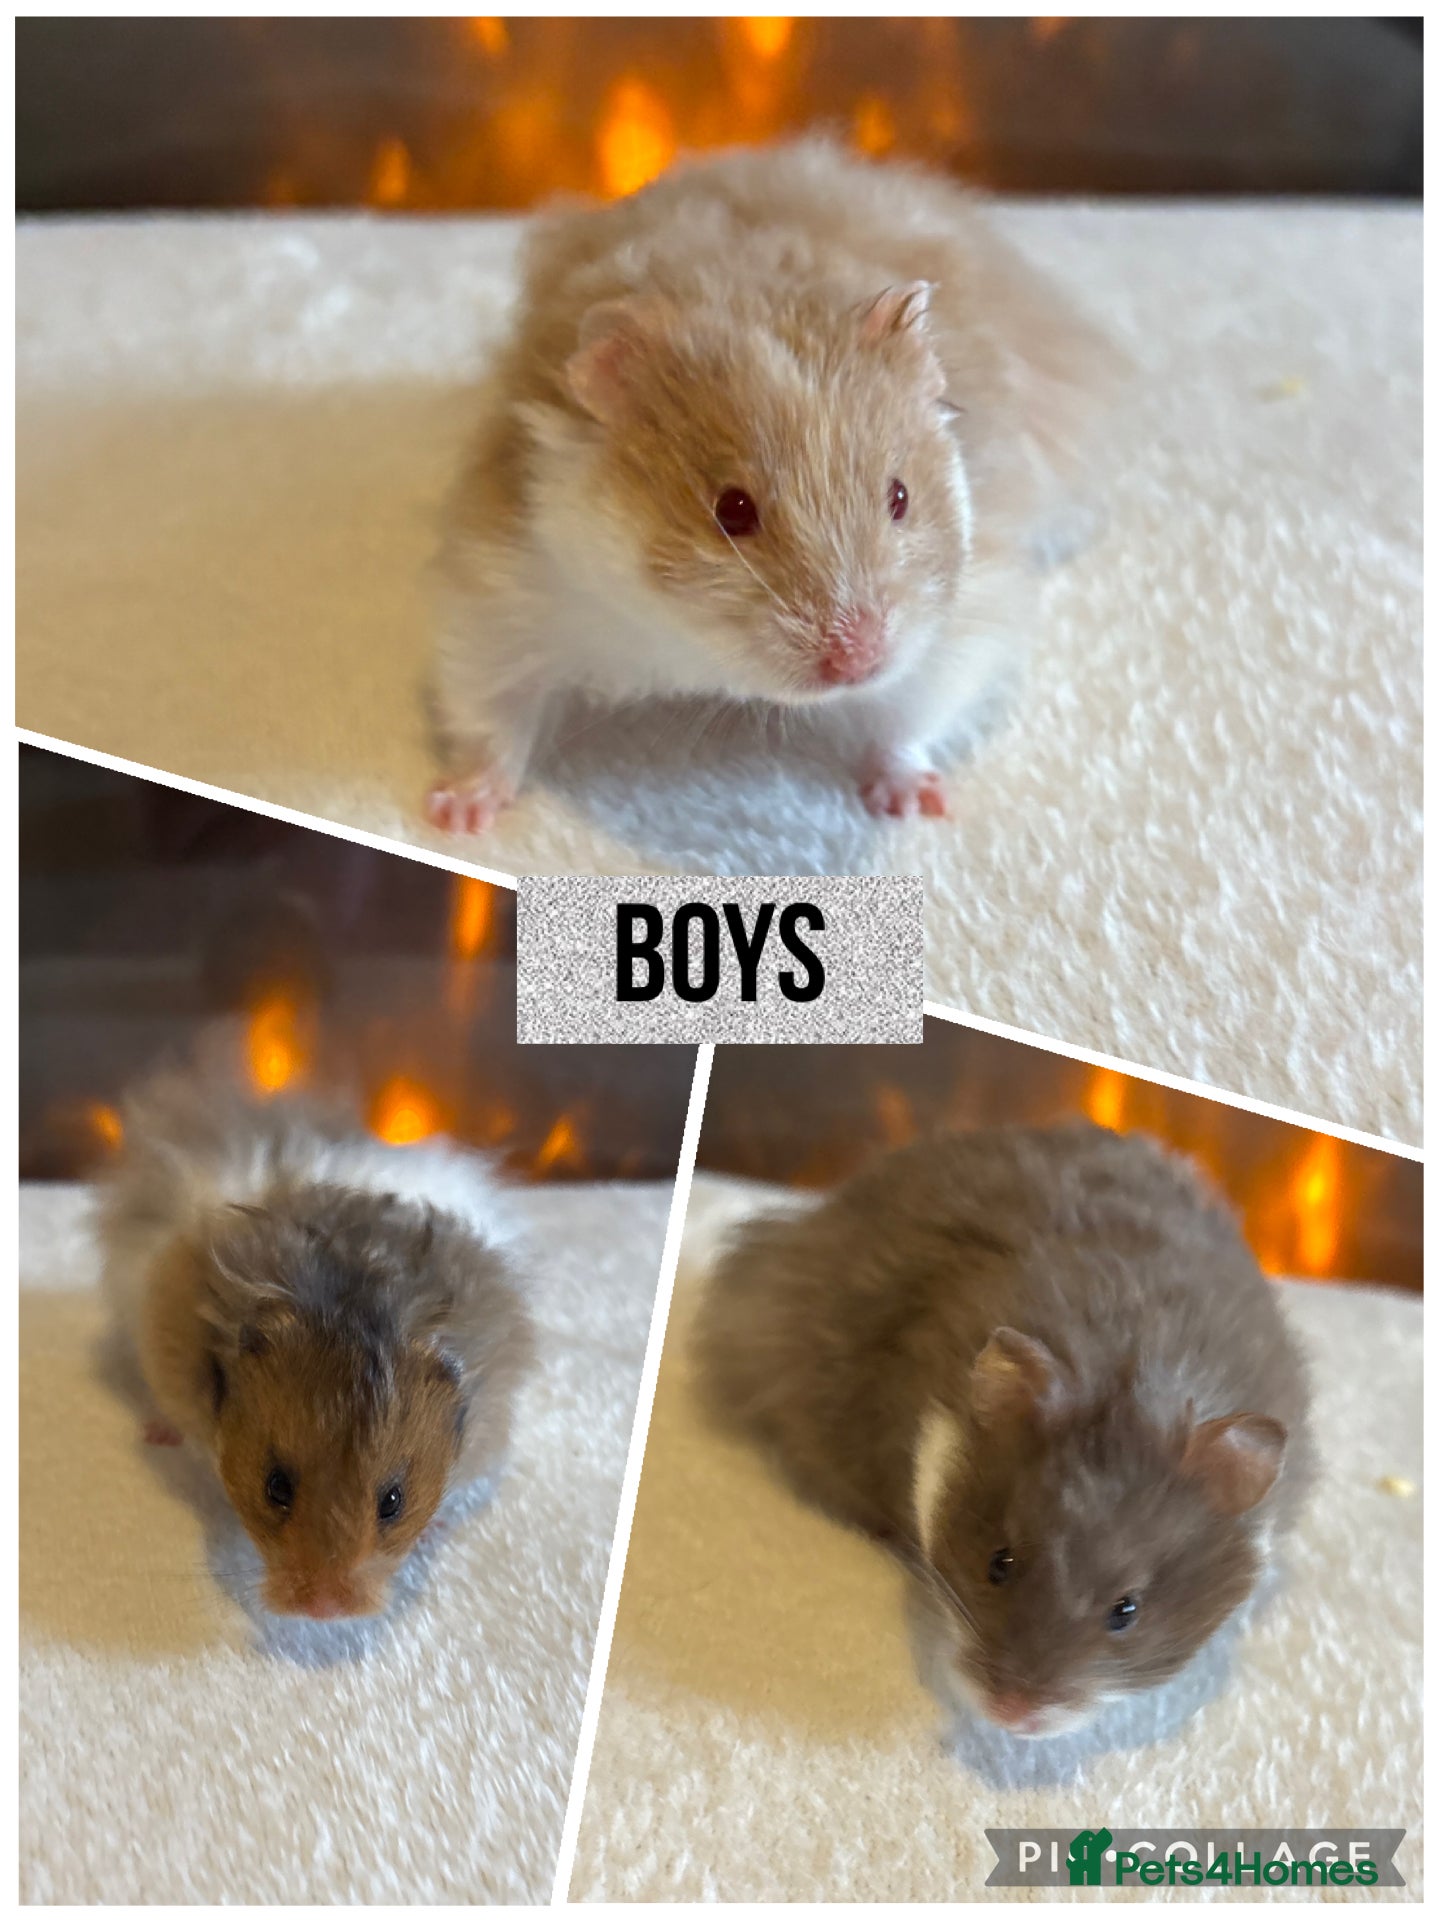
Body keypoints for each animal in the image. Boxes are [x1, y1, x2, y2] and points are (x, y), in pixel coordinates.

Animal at [428, 137, 1119, 832]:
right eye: (731, 510)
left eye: (899, 498)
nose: (859, 662)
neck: (683, 643)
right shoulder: (504, 591)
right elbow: (492, 712)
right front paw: (457, 815)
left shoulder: (957, 623)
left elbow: (908, 720)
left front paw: (913, 805)